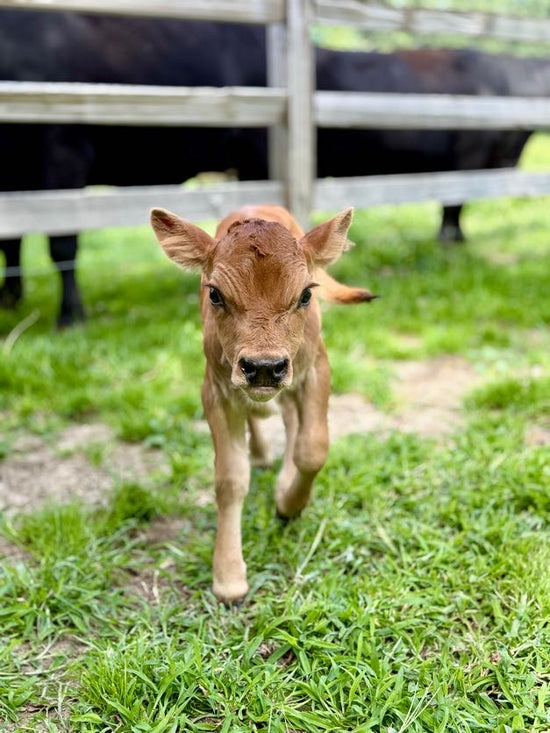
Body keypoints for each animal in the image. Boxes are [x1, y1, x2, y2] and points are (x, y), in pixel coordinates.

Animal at [0, 9, 543, 324]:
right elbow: (18, 241)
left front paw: (69, 315)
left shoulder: (62, 150)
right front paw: (14, 298)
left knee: (453, 205)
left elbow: (60, 243)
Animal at [150, 203, 376, 602]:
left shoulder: (316, 369)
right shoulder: (216, 390)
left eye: (306, 295)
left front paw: (289, 504)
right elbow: (229, 478)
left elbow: (312, 449)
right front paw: (228, 575)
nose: (264, 367)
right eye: (215, 294)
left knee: (291, 422)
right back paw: (260, 452)